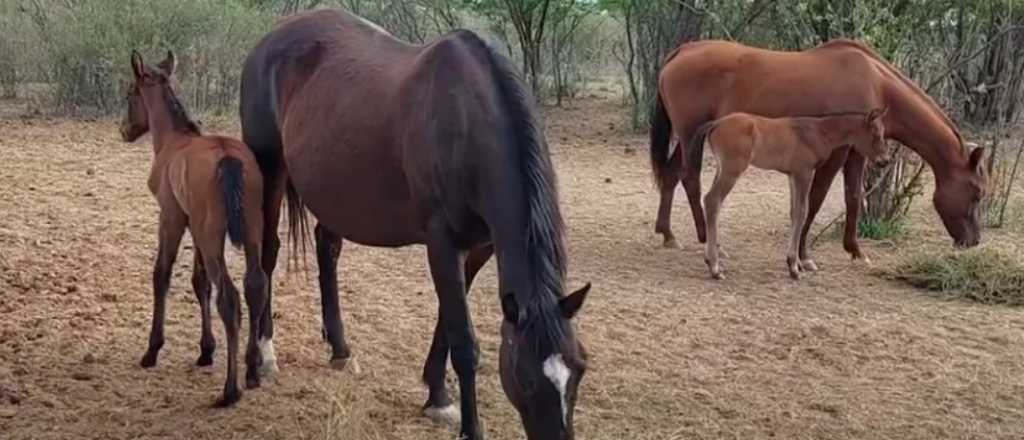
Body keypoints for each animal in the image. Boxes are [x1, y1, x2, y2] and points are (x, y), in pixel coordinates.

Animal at [119, 50, 270, 405]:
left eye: (130, 93)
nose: (124, 130)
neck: (175, 141)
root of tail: (229, 159)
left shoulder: (172, 217)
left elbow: (161, 273)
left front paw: (152, 351)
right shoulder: (194, 226)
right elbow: (199, 282)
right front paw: (206, 351)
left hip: (212, 235)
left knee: (229, 297)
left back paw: (229, 391)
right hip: (248, 231)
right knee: (255, 285)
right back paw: (251, 372)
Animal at [239, 9, 589, 440]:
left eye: (580, 370)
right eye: (524, 378)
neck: (466, 125)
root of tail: (270, 38)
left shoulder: (478, 247)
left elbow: (447, 325)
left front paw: (437, 396)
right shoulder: (441, 243)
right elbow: (463, 341)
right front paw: (468, 425)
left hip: (333, 188)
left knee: (327, 248)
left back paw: (340, 350)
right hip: (270, 170)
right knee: (267, 256)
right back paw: (265, 354)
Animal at [651, 38, 987, 260]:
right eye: (977, 193)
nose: (973, 241)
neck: (876, 83)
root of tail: (682, 51)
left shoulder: (858, 151)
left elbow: (853, 198)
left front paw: (855, 249)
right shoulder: (835, 154)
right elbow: (815, 199)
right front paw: (802, 253)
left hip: (689, 137)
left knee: (670, 175)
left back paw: (668, 234)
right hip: (690, 134)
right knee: (690, 179)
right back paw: (706, 238)